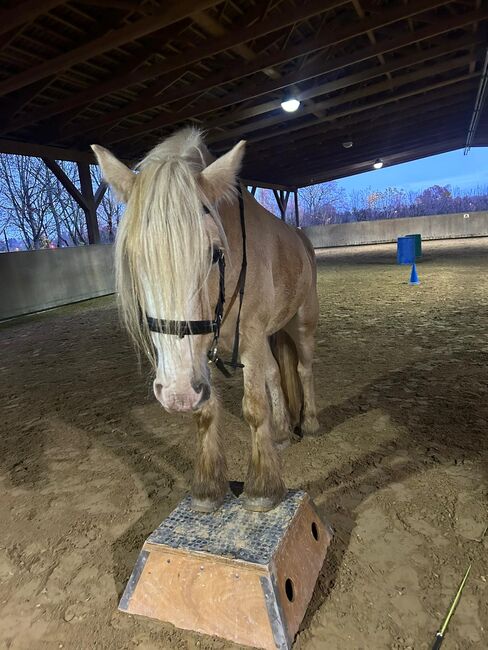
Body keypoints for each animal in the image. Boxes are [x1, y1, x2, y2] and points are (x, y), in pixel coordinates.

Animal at [92, 126, 320, 512]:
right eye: (134, 260)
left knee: (304, 369)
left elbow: (253, 408)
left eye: (215, 253)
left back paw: (311, 422)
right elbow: (206, 413)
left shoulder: (248, 339)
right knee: (276, 374)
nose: (177, 393)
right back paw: (282, 431)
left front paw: (262, 487)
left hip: (301, 322)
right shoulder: (204, 354)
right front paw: (209, 487)